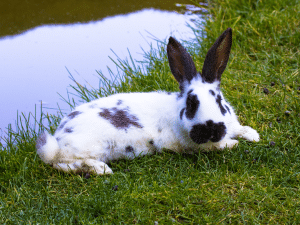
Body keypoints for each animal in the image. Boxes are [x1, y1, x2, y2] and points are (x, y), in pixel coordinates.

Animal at [36, 28, 258, 175]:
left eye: (219, 101)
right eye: (191, 104)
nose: (211, 130)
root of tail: (59, 139)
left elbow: (239, 128)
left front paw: (253, 135)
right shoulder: (185, 145)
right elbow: (216, 146)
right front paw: (232, 144)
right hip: (89, 148)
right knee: (61, 163)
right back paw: (101, 169)